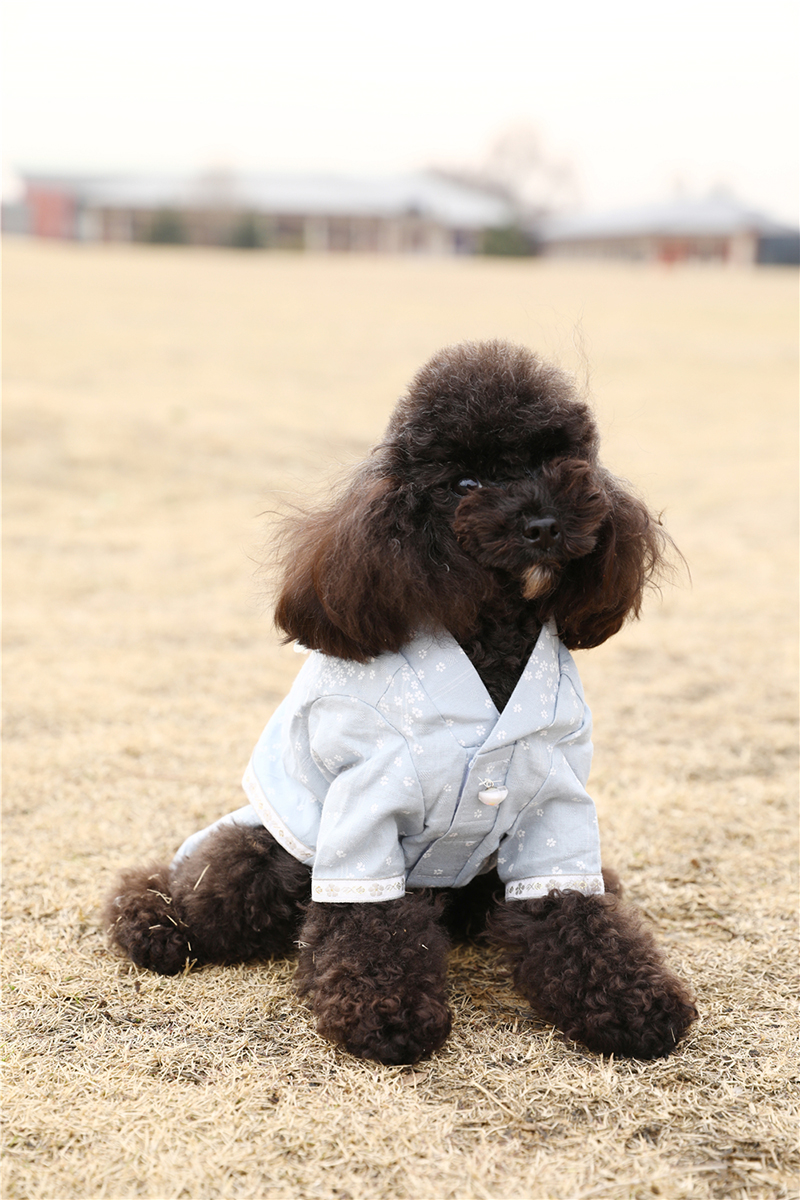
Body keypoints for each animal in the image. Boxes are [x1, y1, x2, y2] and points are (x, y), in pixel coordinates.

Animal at [104, 340, 696, 1066]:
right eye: (464, 484)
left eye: (556, 461)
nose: (543, 524)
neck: (494, 632)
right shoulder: (367, 796)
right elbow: (369, 918)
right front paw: (384, 1013)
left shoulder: (555, 804)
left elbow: (573, 907)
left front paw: (633, 1000)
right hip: (275, 854)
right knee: (208, 884)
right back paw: (151, 921)